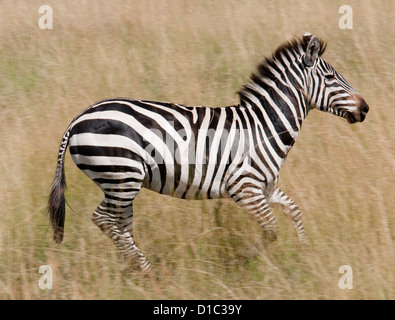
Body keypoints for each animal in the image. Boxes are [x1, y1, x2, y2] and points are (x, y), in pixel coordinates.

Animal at [48, 32, 370, 272]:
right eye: (331, 77)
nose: (365, 108)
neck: (263, 126)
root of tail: (78, 119)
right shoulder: (244, 188)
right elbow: (271, 229)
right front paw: (242, 260)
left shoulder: (264, 188)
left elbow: (294, 210)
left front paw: (303, 253)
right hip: (121, 177)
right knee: (104, 219)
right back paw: (147, 272)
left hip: (121, 182)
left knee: (119, 224)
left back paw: (135, 269)